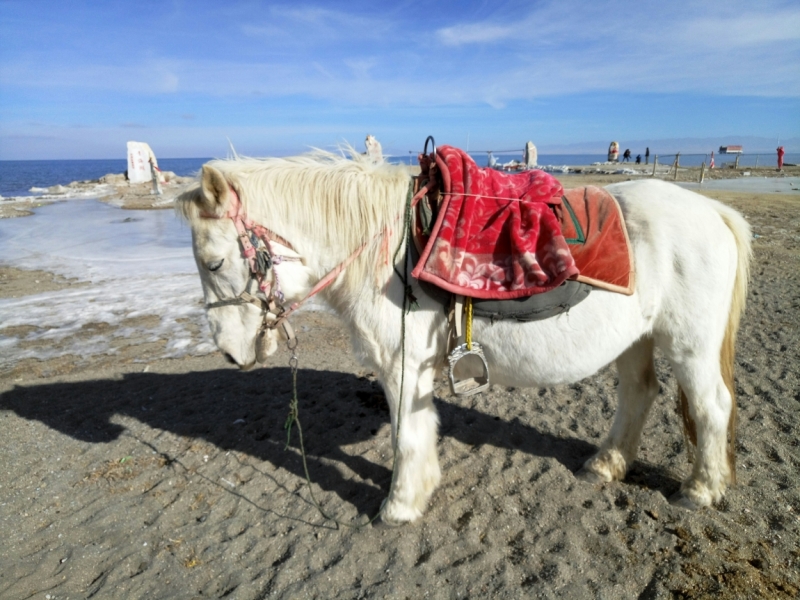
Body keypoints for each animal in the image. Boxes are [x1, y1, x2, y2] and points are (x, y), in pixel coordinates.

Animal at [175, 151, 752, 524]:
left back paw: (701, 491)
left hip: (691, 345)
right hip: (636, 340)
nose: (229, 351)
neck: (388, 247)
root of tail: (715, 212)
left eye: (214, 262)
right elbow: (416, 431)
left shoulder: (403, 365)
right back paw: (606, 465)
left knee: (712, 407)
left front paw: (399, 507)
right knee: (639, 394)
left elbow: (406, 436)